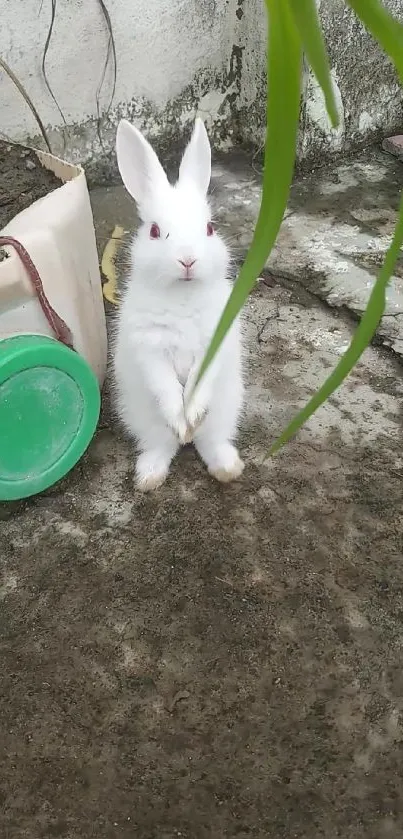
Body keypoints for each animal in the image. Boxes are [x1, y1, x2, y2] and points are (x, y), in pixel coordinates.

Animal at [113, 115, 246, 488]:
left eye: (210, 228)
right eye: (155, 231)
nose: (188, 260)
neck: (183, 295)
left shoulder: (215, 342)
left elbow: (200, 381)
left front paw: (193, 413)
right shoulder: (150, 348)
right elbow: (167, 388)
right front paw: (181, 418)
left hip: (228, 407)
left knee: (210, 441)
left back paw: (225, 466)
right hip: (140, 415)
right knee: (162, 444)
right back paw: (151, 475)